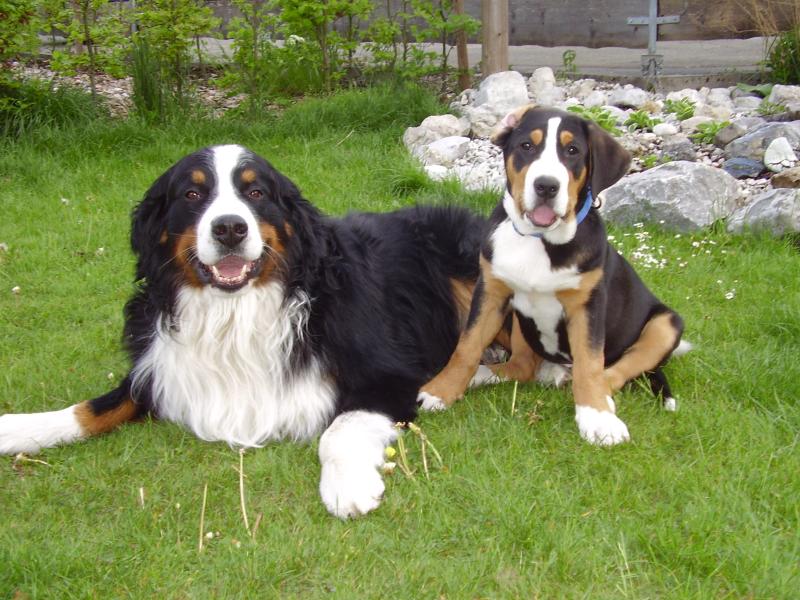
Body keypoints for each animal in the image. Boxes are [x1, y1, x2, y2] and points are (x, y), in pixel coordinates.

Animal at [0, 144, 489, 518]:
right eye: (192, 192)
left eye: (255, 192)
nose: (230, 228)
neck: (234, 313)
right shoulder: (159, 363)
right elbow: (96, 407)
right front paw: (20, 428)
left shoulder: (386, 374)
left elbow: (339, 428)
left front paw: (347, 484)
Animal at [417, 106, 687, 445]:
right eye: (526, 146)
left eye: (573, 151)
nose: (546, 186)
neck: (538, 239)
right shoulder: (491, 291)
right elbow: (466, 346)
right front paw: (440, 391)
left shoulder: (588, 306)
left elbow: (590, 363)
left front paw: (597, 417)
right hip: (520, 324)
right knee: (521, 366)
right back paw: (482, 374)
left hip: (667, 324)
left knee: (613, 371)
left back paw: (595, 395)